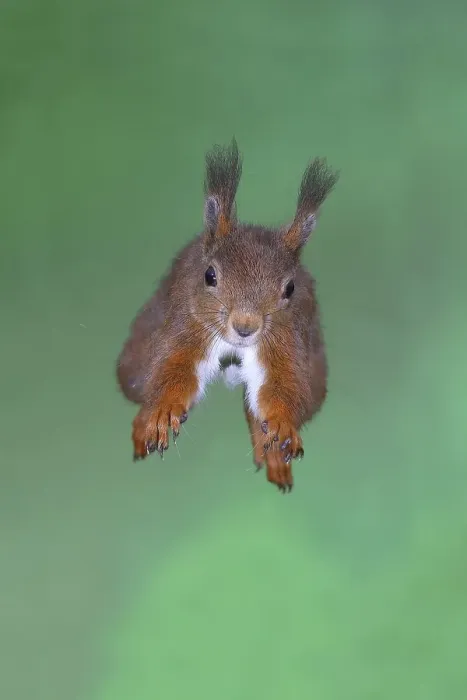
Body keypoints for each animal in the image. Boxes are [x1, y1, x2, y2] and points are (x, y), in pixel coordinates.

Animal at [116, 139, 338, 492]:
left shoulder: (286, 343)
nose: (245, 328)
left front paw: (282, 425)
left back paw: (273, 455)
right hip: (136, 360)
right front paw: (163, 412)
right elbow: (173, 369)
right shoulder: (188, 327)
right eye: (209, 276)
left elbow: (284, 386)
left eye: (290, 289)